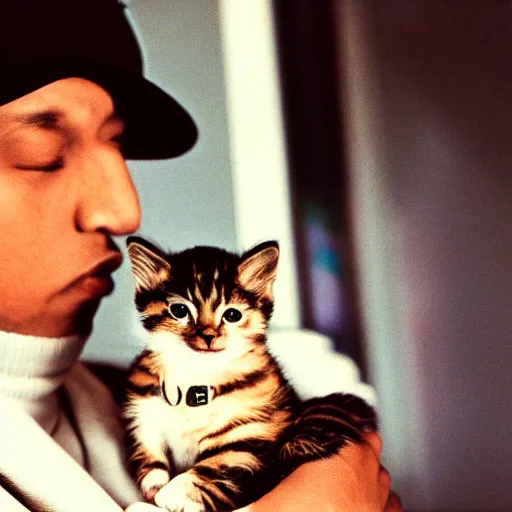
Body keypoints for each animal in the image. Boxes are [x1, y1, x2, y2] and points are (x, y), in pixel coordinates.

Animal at [122, 238, 378, 510]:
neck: (196, 374)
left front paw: (177, 493)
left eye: (232, 315)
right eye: (179, 311)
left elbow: (216, 465)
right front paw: (154, 486)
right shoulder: (142, 420)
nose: (209, 336)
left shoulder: (249, 435)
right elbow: (148, 457)